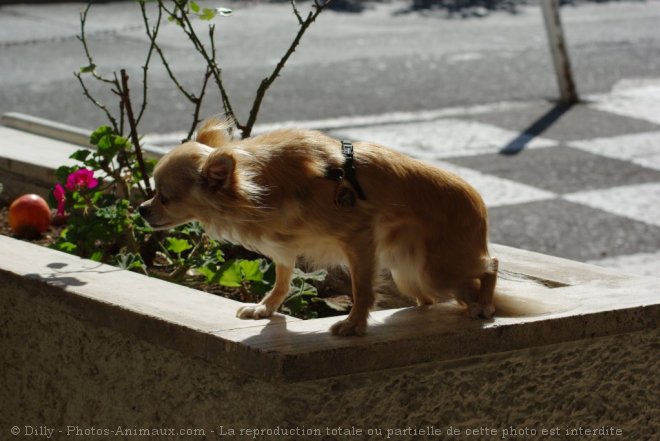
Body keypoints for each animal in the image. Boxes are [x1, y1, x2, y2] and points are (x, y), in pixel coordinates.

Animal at [139, 118, 500, 336]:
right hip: (410, 273)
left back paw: (484, 304)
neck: (263, 183)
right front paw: (265, 308)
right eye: (153, 192)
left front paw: (354, 324)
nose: (141, 209)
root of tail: (479, 205)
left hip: (436, 268)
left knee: (491, 265)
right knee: (431, 297)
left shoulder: (359, 239)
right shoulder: (284, 247)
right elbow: (282, 281)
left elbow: (362, 289)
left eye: (164, 198)